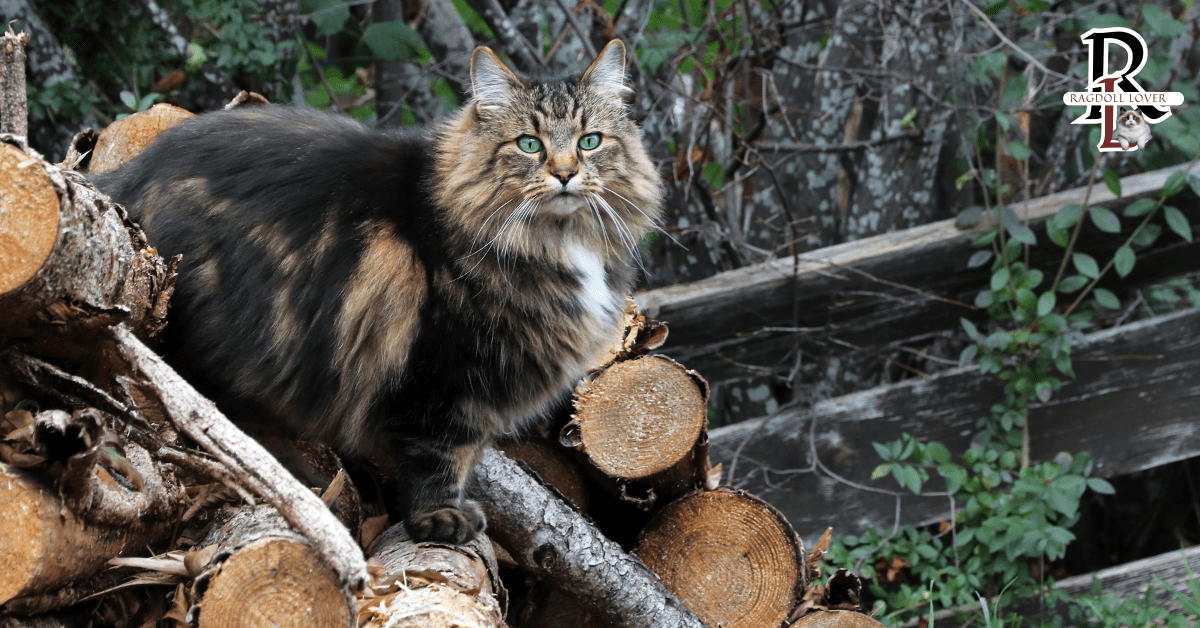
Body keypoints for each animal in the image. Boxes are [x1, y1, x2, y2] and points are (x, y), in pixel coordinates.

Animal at [91, 40, 667, 545]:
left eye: (590, 141)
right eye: (529, 144)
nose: (566, 173)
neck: (552, 244)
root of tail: (125, 176)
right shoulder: (440, 379)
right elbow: (439, 460)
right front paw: (440, 521)